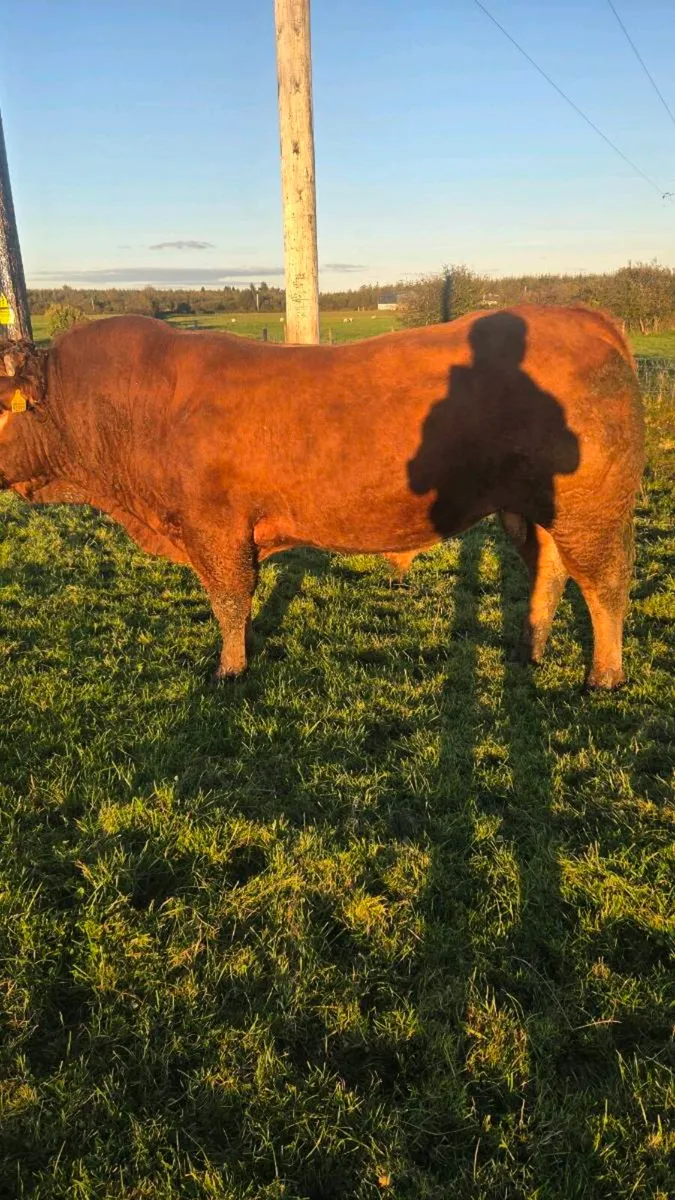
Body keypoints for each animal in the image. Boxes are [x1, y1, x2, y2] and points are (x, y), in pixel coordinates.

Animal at [0, 306, 644, 688]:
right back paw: (529, 649)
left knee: (605, 584)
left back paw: (603, 677)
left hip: (592, 511)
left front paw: (229, 669)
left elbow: (229, 600)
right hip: (532, 510)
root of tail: (578, 314)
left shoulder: (215, 528)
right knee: (550, 573)